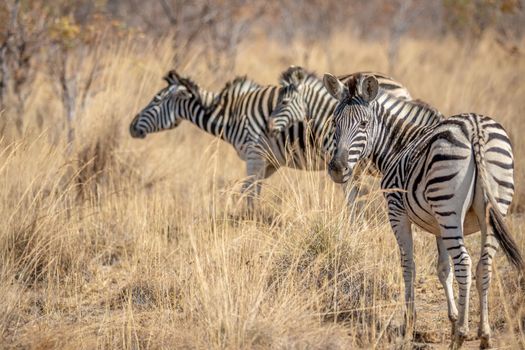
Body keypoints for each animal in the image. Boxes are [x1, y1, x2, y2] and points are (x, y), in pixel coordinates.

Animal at [322, 72, 520, 348]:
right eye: (334, 123)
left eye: (363, 124)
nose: (338, 169)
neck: (398, 145)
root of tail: (475, 129)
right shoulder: (439, 226)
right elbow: (443, 269)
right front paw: (452, 319)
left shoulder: (397, 211)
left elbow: (408, 265)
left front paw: (410, 323)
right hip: (491, 209)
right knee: (483, 266)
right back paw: (484, 335)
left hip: (448, 207)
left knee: (465, 263)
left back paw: (462, 335)